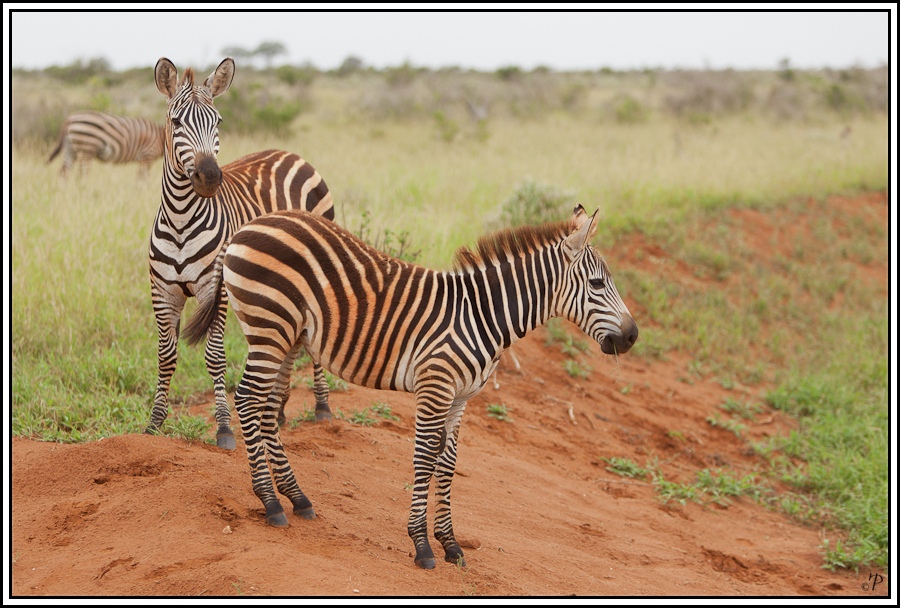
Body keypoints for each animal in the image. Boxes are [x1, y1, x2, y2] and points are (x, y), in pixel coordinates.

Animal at [146, 58, 336, 452]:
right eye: (176, 122)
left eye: (217, 121)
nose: (209, 177)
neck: (181, 219)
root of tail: (288, 152)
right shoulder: (163, 292)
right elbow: (166, 357)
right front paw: (154, 425)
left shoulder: (213, 291)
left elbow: (215, 357)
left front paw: (223, 428)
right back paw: (278, 410)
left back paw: (322, 407)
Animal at [179, 204, 636, 568]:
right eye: (598, 285)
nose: (632, 337)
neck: (483, 317)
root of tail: (249, 225)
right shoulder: (435, 387)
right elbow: (423, 459)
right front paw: (422, 546)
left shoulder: (461, 399)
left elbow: (448, 465)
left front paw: (450, 544)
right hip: (269, 326)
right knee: (247, 400)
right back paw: (271, 502)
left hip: (289, 337)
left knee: (269, 406)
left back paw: (297, 498)